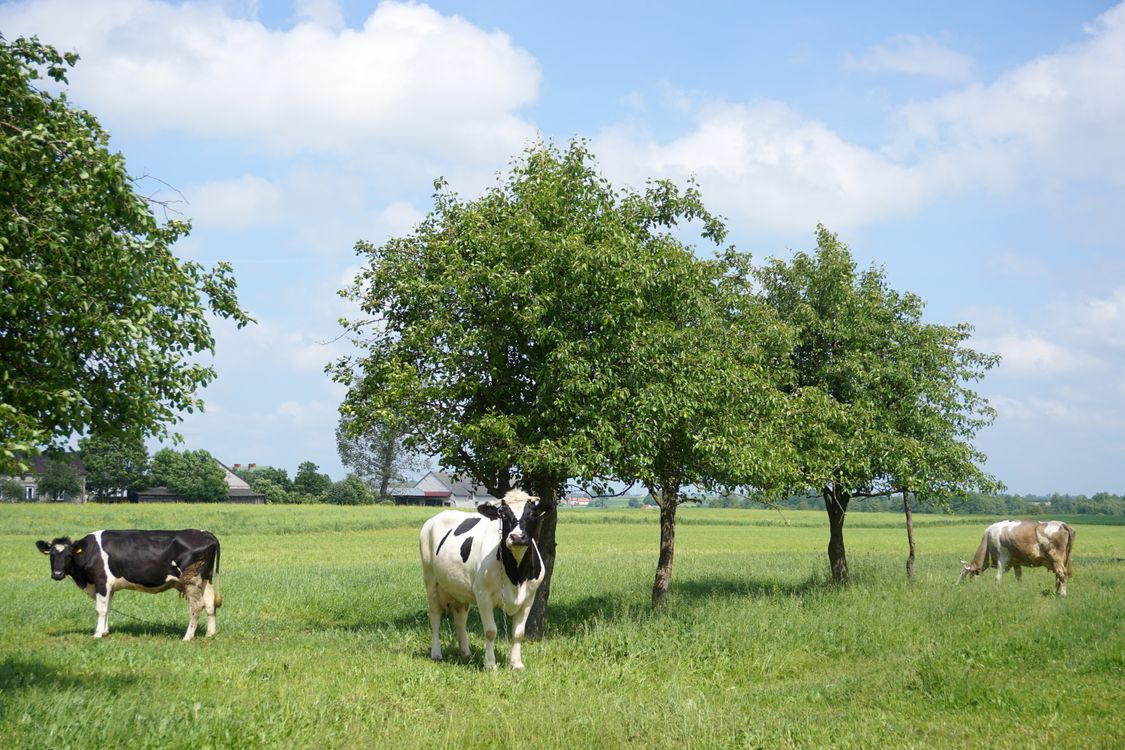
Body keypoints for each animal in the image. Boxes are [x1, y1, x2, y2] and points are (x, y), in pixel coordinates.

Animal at [35, 529, 222, 640]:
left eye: (69, 555)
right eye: (51, 555)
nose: (57, 574)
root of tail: (206, 534)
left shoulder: (101, 582)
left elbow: (100, 609)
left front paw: (97, 634)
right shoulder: (109, 587)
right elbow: (108, 607)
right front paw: (105, 631)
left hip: (191, 581)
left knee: (196, 606)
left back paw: (187, 637)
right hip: (205, 579)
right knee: (210, 604)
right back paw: (210, 634)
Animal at [419, 489, 548, 670]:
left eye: (532, 514)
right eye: (504, 514)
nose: (517, 537)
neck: (516, 575)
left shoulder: (529, 597)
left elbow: (518, 633)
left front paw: (516, 664)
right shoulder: (483, 594)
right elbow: (490, 631)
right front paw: (490, 664)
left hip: (460, 589)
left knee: (460, 618)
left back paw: (465, 652)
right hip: (430, 580)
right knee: (435, 615)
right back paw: (436, 653)